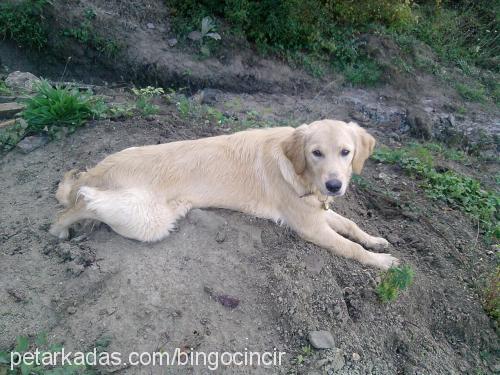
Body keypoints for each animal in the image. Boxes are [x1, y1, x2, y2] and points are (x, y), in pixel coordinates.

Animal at [50, 120, 400, 270]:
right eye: (316, 153)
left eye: (346, 152)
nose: (334, 186)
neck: (299, 171)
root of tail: (100, 168)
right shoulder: (310, 226)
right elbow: (350, 248)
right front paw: (383, 262)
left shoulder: (319, 211)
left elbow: (352, 226)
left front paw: (376, 240)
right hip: (147, 220)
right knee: (79, 202)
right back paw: (61, 229)